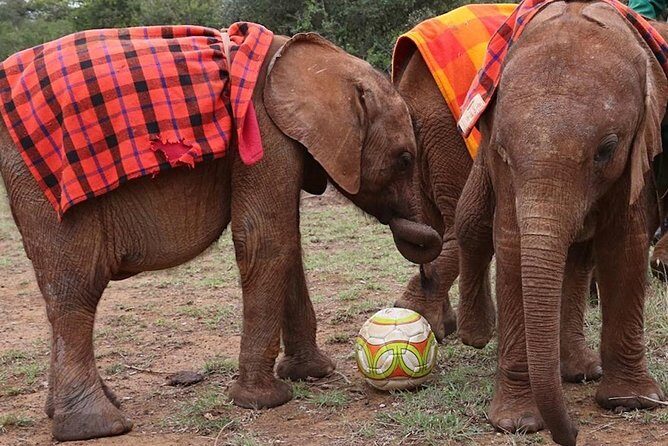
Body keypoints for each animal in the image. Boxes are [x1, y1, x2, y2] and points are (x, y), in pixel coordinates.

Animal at [0, 32, 442, 441]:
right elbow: (266, 237)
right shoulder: (263, 133)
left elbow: (288, 239)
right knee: (77, 287)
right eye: (404, 160)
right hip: (50, 184)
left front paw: (312, 374)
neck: (318, 62)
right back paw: (98, 427)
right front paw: (265, 401)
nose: (424, 263)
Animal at [455, 2, 668, 445]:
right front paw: (517, 423)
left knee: (578, 257)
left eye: (607, 149)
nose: (573, 432)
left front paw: (633, 402)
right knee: (472, 223)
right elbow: (511, 244)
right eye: (503, 149)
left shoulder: (640, 149)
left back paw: (579, 372)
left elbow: (624, 244)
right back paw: (476, 334)